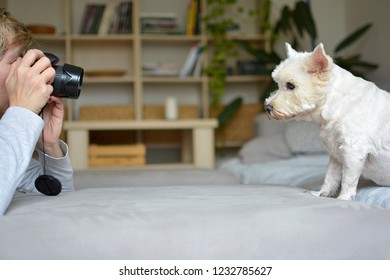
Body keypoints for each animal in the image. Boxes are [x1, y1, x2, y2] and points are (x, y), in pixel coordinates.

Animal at [266, 43, 390, 199]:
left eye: (290, 85)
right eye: (277, 84)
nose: (267, 108)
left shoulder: (353, 151)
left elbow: (348, 180)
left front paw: (343, 198)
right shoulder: (336, 155)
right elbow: (330, 177)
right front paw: (321, 194)